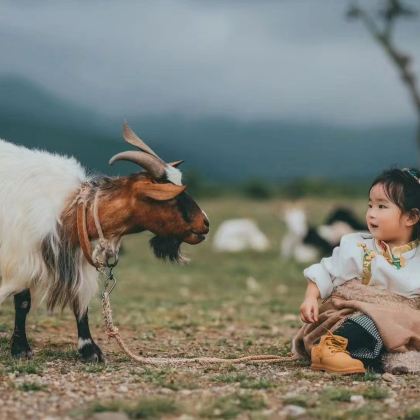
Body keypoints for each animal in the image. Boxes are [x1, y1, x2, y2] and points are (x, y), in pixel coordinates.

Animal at [0, 124, 209, 360]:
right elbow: (23, 302)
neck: (73, 208)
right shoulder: (20, 256)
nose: (205, 223)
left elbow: (81, 303)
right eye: (170, 197)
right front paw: (20, 348)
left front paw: (89, 349)